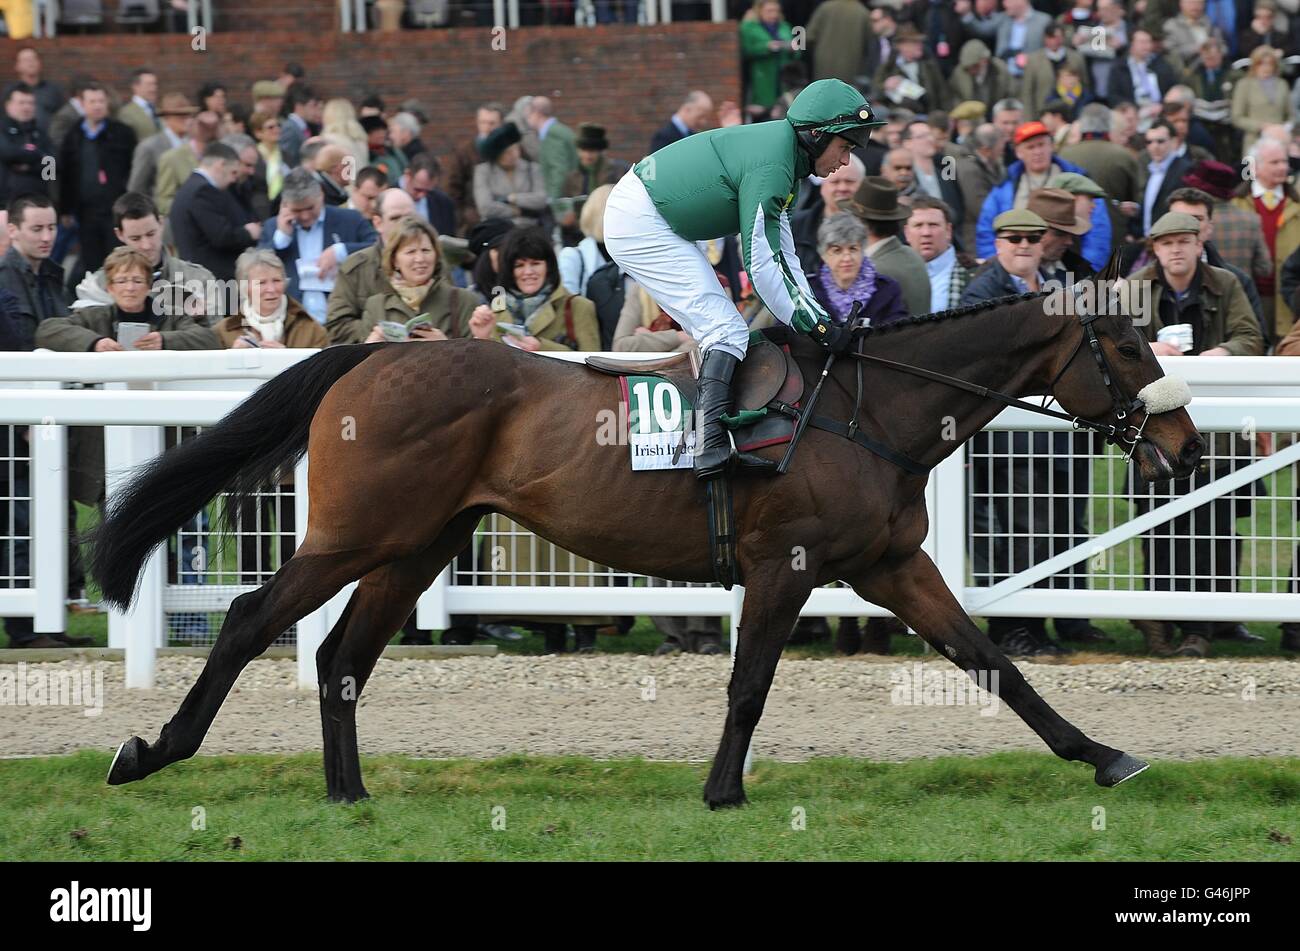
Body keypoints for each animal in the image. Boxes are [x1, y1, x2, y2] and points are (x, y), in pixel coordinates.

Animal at [94, 278, 1196, 805]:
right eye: (1128, 345)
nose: (1185, 446)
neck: (870, 409)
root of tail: (368, 354)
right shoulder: (784, 566)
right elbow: (749, 684)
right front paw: (721, 790)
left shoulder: (891, 563)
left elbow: (990, 663)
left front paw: (1106, 757)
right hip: (357, 531)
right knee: (250, 619)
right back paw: (152, 751)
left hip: (419, 543)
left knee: (339, 656)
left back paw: (349, 792)